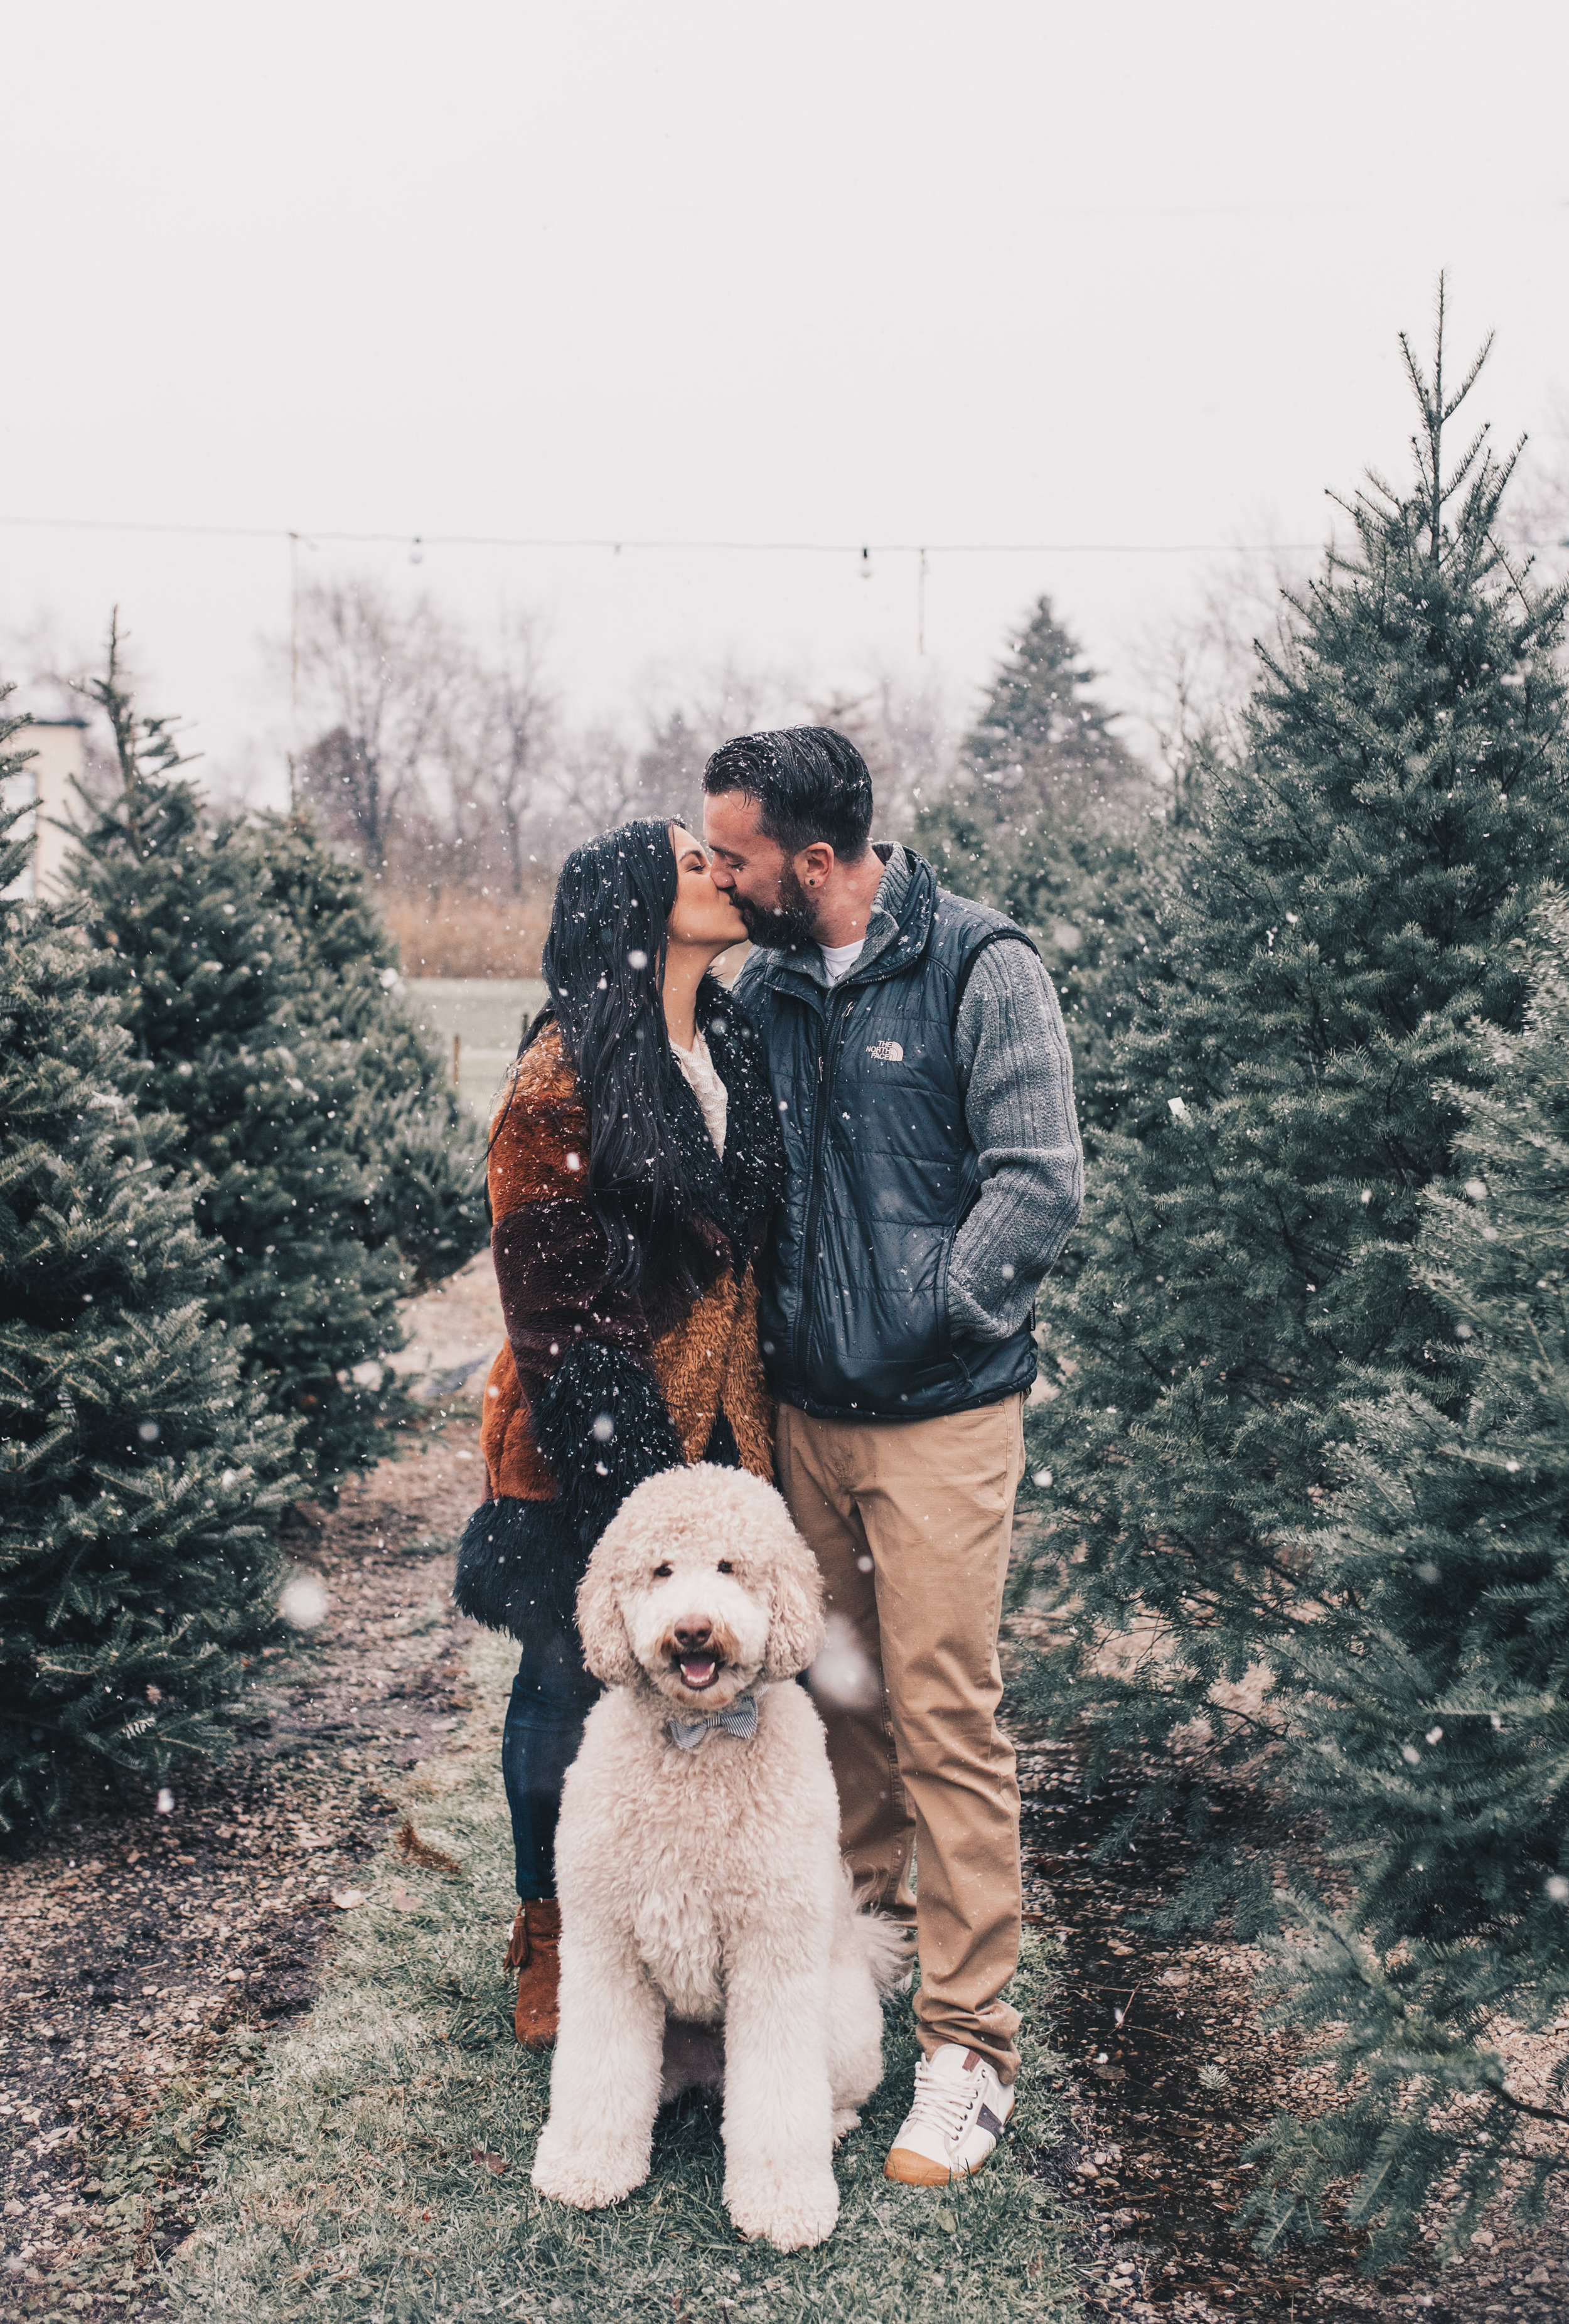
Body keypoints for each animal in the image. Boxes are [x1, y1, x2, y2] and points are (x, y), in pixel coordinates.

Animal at [530, 1469, 902, 2249]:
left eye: (730, 1566)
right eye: (661, 1570)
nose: (693, 1629)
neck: (697, 1742)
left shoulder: (772, 1953)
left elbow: (779, 2092)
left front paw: (783, 2204)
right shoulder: (605, 1945)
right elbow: (598, 2067)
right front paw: (585, 2168)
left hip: (841, 2023)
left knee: (831, 2092)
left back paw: (831, 2127)